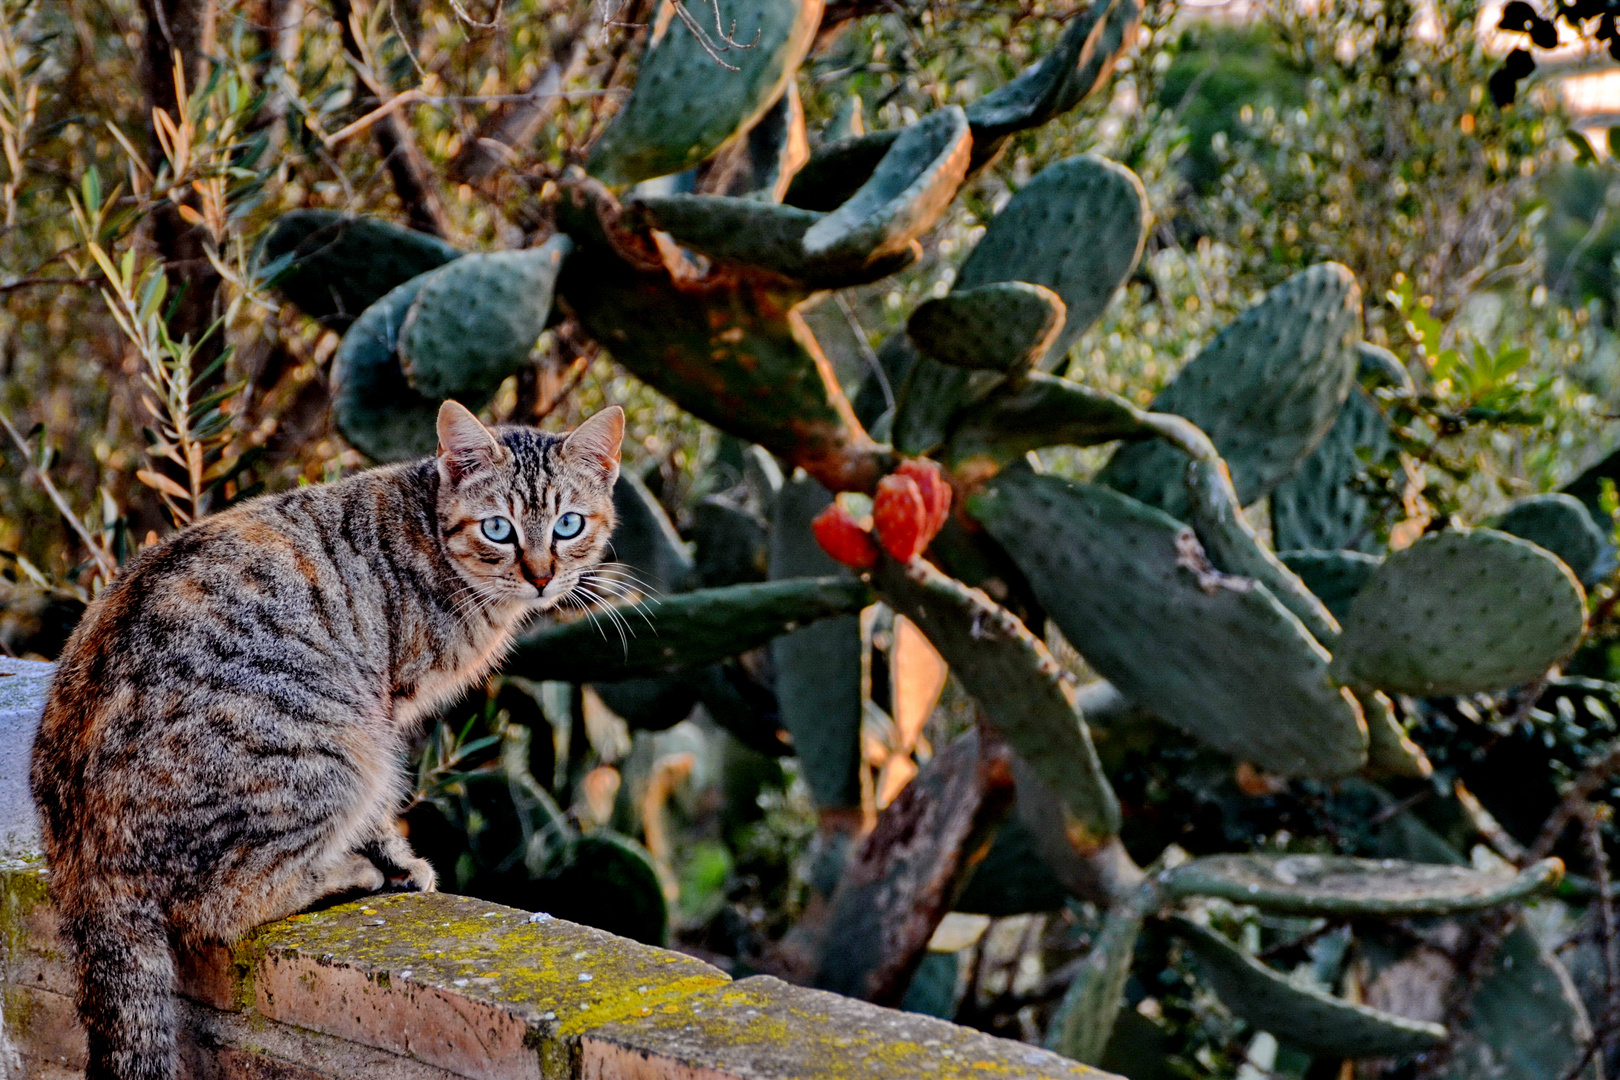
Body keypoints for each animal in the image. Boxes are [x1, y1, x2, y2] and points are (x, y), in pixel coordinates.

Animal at [33, 401, 625, 1075]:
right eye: (498, 529)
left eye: (569, 525)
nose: (542, 576)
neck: (429, 533)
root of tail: (82, 863)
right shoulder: (387, 710)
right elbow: (381, 814)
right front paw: (398, 860)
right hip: (332, 752)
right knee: (219, 904)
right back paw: (350, 874)